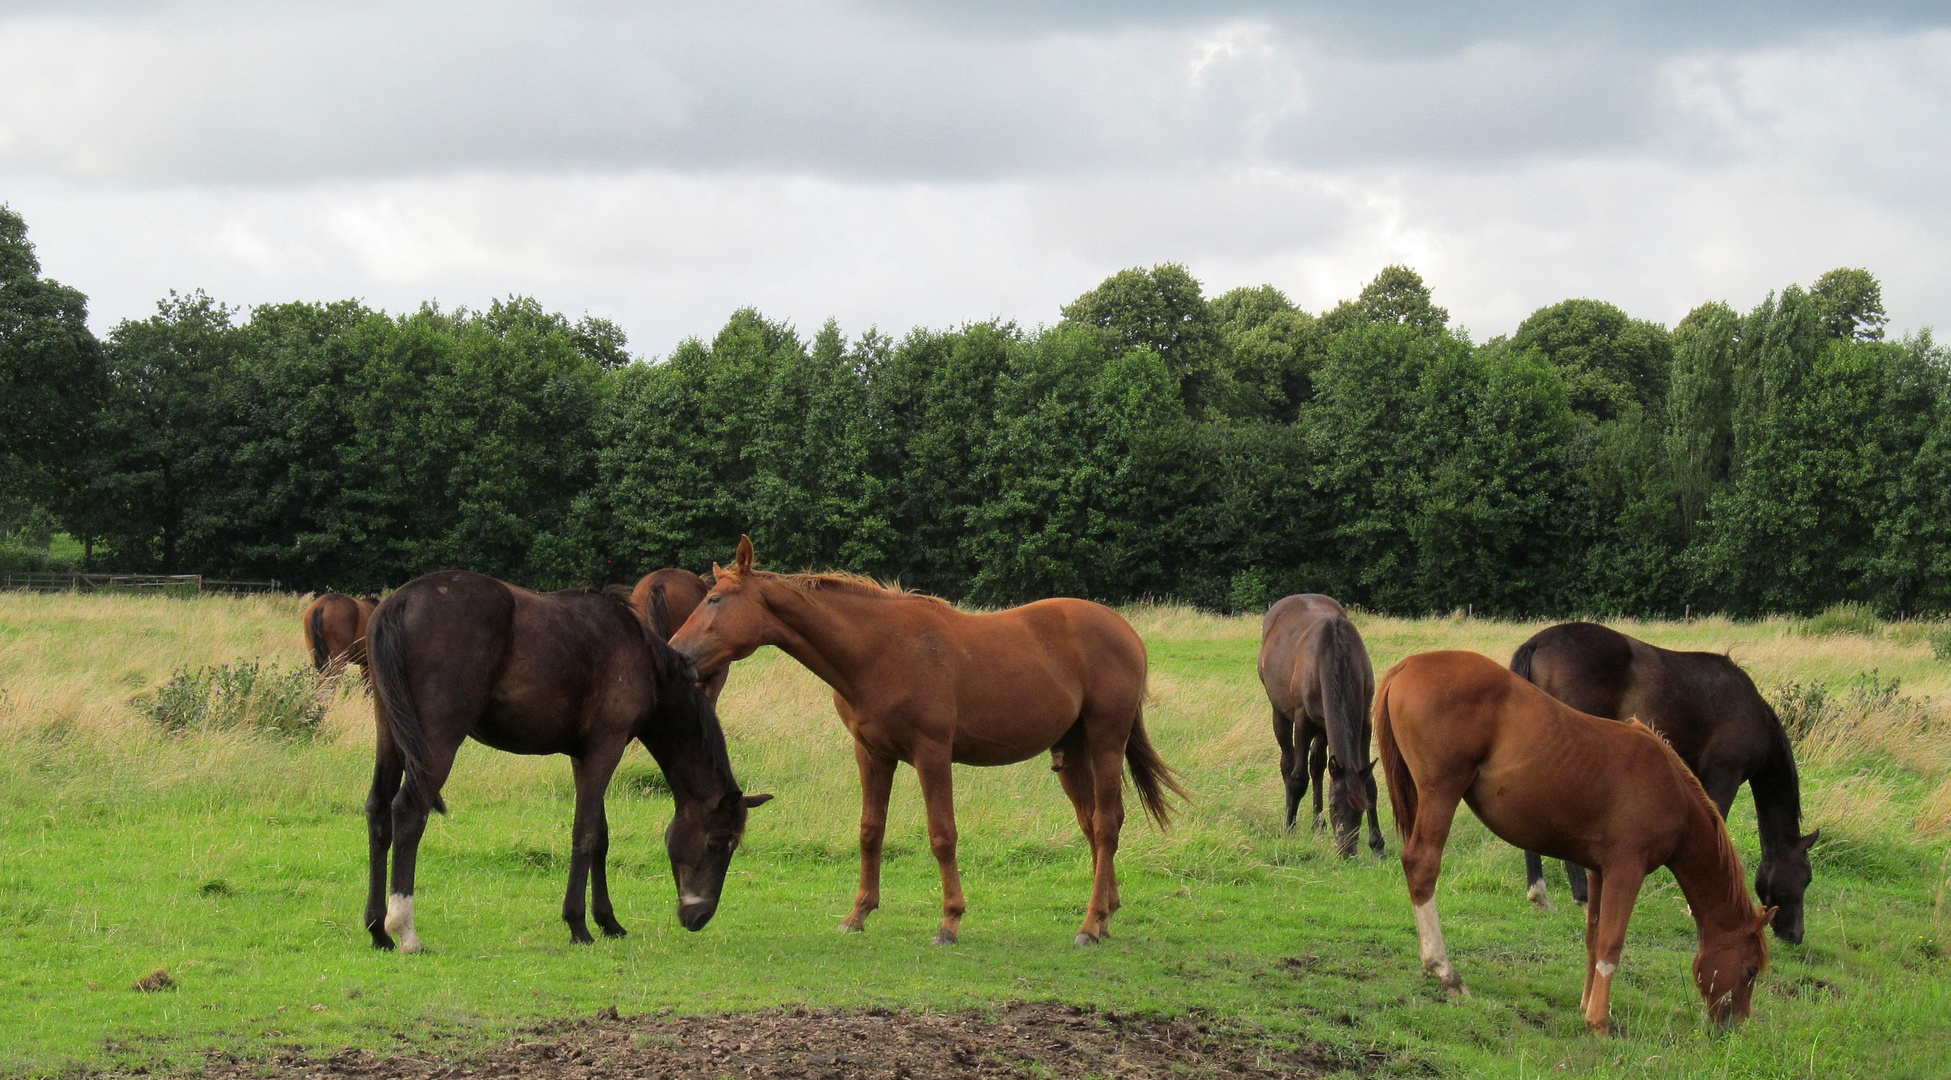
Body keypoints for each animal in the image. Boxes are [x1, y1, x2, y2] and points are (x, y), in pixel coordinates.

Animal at [366, 569, 768, 947]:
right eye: (718, 842)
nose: (699, 916)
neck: (644, 658)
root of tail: (400, 601)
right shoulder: (606, 749)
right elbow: (586, 834)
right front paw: (578, 925)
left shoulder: (584, 755)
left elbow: (601, 837)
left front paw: (608, 921)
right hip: (435, 743)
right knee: (408, 812)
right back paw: (405, 930)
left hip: (391, 733)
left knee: (378, 811)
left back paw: (377, 929)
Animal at [671, 534, 1186, 943]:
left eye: (715, 599)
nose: (676, 653)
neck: (878, 651)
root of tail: (1124, 631)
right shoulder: (872, 754)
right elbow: (870, 830)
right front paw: (858, 914)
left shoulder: (932, 754)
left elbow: (942, 834)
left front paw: (950, 921)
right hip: (1073, 752)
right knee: (1093, 825)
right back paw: (1106, 914)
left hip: (1105, 742)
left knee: (1107, 823)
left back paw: (1090, 924)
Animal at [1256, 592, 1381, 853]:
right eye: (1334, 805)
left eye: (1361, 806)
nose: (1347, 850)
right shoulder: (1303, 720)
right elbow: (1298, 778)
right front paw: (1289, 828)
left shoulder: (1364, 722)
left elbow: (1370, 783)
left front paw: (1377, 845)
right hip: (1279, 712)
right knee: (1288, 762)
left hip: (1324, 728)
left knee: (1318, 765)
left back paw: (1317, 823)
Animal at [1373, 647, 1771, 1037]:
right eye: (1750, 970)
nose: (1735, 1027)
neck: (1671, 790)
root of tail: (1407, 665)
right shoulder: (1627, 869)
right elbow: (1612, 943)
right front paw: (1599, 1022)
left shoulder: (1599, 871)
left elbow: (1594, 938)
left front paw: (1585, 1005)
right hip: (1440, 793)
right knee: (1422, 865)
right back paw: (1445, 971)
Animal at [1513, 616, 1818, 935]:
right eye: (1806, 876)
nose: (1796, 934)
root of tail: (1537, 642)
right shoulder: (1725, 776)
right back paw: (1582, 897)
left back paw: (1539, 892)